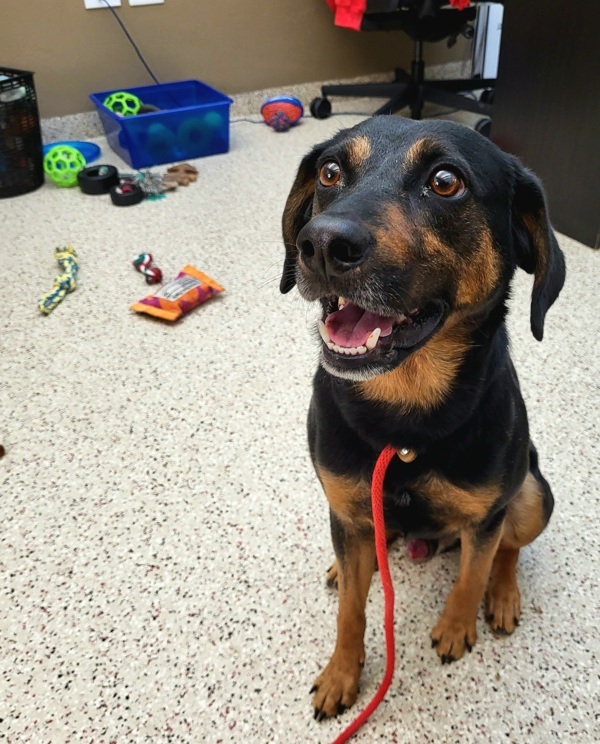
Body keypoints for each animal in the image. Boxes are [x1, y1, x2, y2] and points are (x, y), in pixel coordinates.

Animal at [278, 117, 564, 720]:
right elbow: (351, 610)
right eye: (330, 172)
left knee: (509, 548)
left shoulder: (485, 515)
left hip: (532, 493)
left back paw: (503, 595)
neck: (404, 418)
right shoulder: (346, 507)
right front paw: (342, 673)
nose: (320, 244)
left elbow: (472, 575)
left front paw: (456, 628)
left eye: (445, 181)